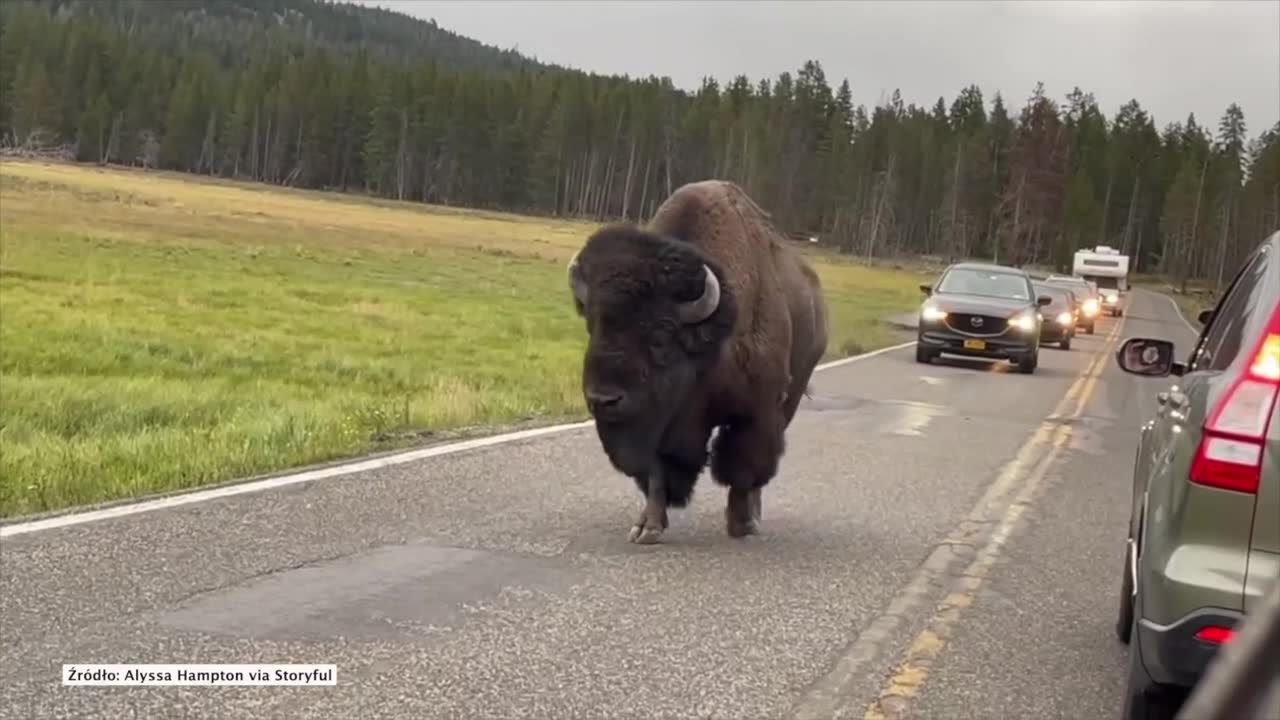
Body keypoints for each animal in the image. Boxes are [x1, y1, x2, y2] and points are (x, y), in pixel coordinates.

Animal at [568, 180, 829, 543]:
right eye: (593, 326)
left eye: (660, 337)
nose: (603, 399)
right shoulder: (661, 423)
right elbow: (658, 473)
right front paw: (647, 527)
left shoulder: (756, 412)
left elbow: (743, 467)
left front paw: (740, 524)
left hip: (790, 398)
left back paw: (754, 517)